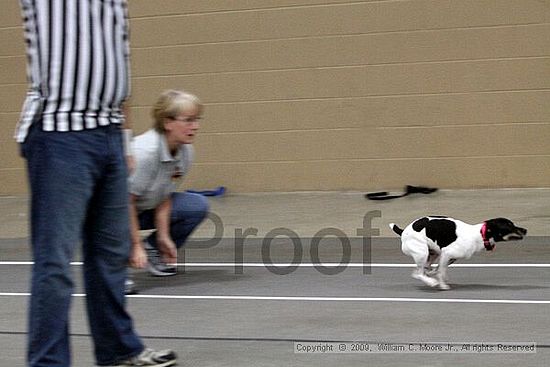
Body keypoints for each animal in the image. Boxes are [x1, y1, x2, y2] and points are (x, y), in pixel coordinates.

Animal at [390, 217, 528, 292]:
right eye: (509, 226)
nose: (525, 230)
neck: (480, 235)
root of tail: (403, 231)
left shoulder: (450, 257)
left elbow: (439, 269)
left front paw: (436, 276)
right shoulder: (447, 253)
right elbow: (441, 272)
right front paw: (442, 285)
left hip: (432, 253)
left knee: (423, 269)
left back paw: (429, 276)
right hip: (422, 253)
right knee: (417, 273)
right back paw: (431, 282)